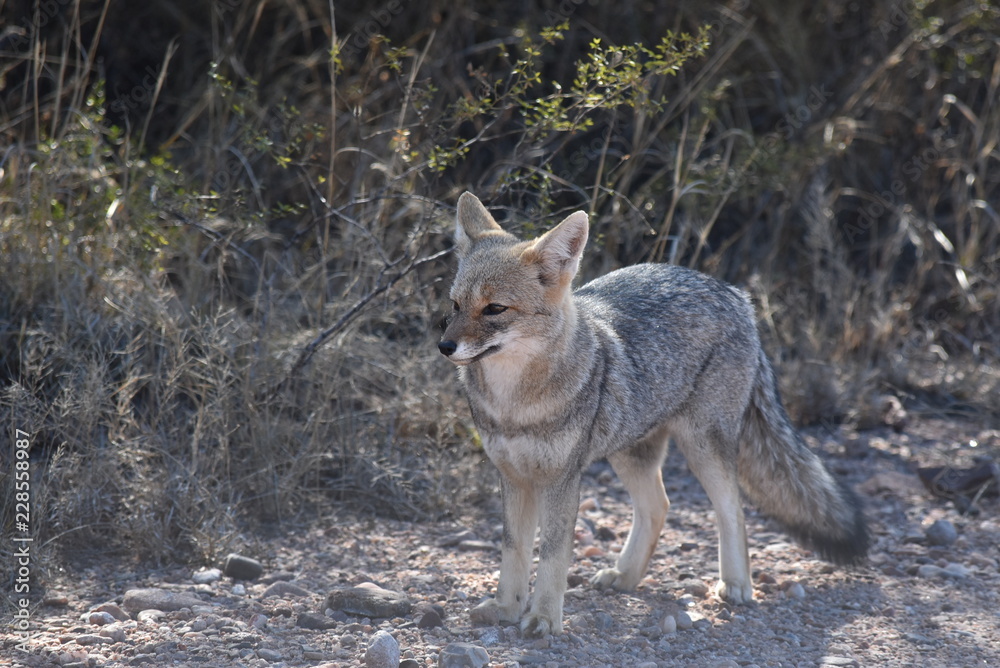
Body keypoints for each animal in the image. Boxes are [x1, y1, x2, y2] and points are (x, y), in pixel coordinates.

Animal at [438, 192, 869, 637]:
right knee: (658, 506)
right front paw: (507, 607)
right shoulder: (512, 476)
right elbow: (515, 550)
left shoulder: (561, 479)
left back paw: (736, 583)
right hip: (630, 452)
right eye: (455, 305)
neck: (514, 406)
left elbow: (554, 555)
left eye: (495, 309)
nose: (445, 346)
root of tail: (735, 294)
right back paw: (626, 575)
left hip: (702, 448)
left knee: (732, 509)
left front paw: (543, 617)